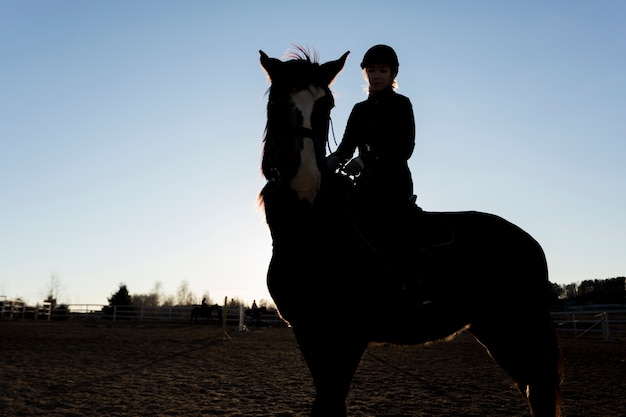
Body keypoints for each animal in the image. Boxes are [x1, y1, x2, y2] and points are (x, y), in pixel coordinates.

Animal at [256, 46, 564, 416]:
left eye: (326, 105)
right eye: (276, 100)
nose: (304, 183)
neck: (315, 232)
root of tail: (529, 242)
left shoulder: (348, 335)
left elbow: (332, 403)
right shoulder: (308, 331)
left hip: (517, 327)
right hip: (495, 329)